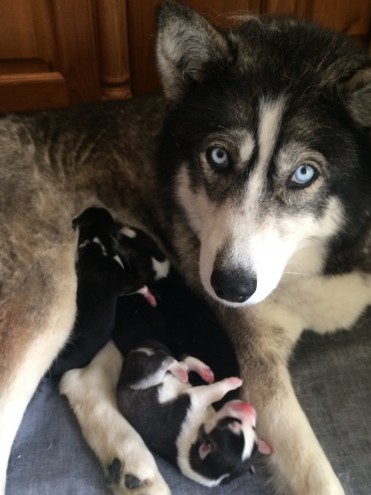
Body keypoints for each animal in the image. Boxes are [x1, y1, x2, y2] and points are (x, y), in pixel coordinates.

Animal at [0, 0, 371, 495]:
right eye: (218, 156)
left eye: (304, 174)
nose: (229, 288)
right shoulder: (256, 362)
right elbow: (320, 477)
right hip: (48, 300)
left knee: (79, 379)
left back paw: (132, 467)